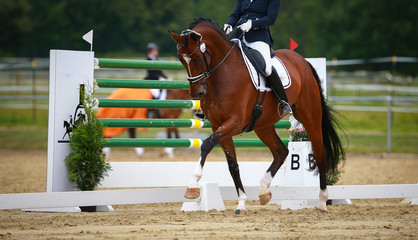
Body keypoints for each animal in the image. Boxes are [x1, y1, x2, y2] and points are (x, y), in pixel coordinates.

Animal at [168, 17, 344, 215]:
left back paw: (322, 201)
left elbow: (206, 145)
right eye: (181, 60)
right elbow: (232, 165)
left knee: (320, 153)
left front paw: (192, 185)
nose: (196, 93)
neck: (222, 73)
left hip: (310, 117)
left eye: (198, 58)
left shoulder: (234, 123)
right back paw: (263, 190)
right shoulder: (218, 125)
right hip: (263, 125)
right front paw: (241, 203)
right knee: (281, 152)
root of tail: (303, 61)